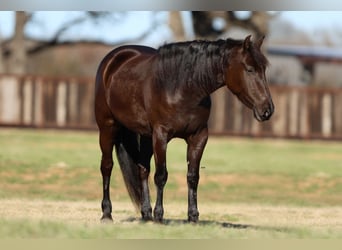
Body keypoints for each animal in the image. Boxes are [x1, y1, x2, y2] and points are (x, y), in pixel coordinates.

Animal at [94, 33, 276, 223]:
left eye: (263, 69)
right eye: (250, 69)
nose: (267, 109)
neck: (182, 88)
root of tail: (113, 59)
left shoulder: (198, 136)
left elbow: (193, 176)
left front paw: (193, 216)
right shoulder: (161, 136)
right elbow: (161, 176)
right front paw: (159, 215)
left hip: (145, 136)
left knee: (142, 169)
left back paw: (146, 214)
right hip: (108, 127)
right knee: (107, 166)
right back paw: (107, 213)